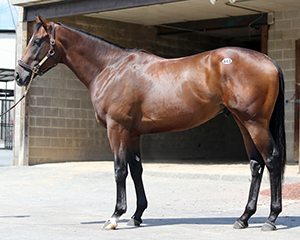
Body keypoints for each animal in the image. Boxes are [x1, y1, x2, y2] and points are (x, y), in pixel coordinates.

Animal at [14, 14, 286, 231]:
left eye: (36, 41)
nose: (19, 75)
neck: (111, 68)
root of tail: (268, 60)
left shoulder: (117, 129)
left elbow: (119, 170)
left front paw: (115, 216)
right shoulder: (133, 133)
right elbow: (136, 169)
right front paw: (137, 215)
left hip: (254, 123)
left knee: (272, 159)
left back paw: (271, 219)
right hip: (243, 122)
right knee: (256, 164)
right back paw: (243, 218)